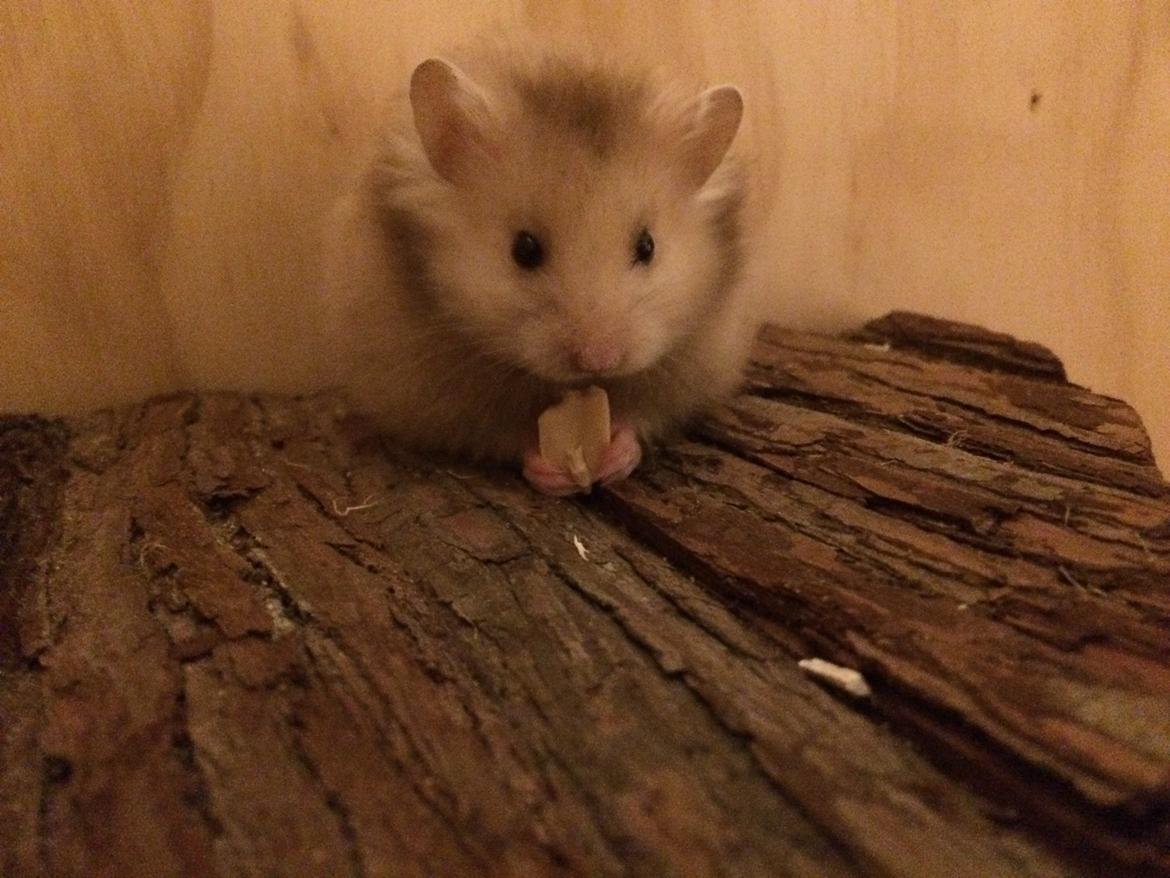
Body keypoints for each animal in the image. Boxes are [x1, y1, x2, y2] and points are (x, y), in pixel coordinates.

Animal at [320, 43, 757, 494]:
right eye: (524, 249)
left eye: (648, 246)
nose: (599, 360)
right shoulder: (438, 398)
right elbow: (503, 434)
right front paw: (553, 471)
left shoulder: (691, 370)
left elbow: (643, 416)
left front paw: (613, 457)